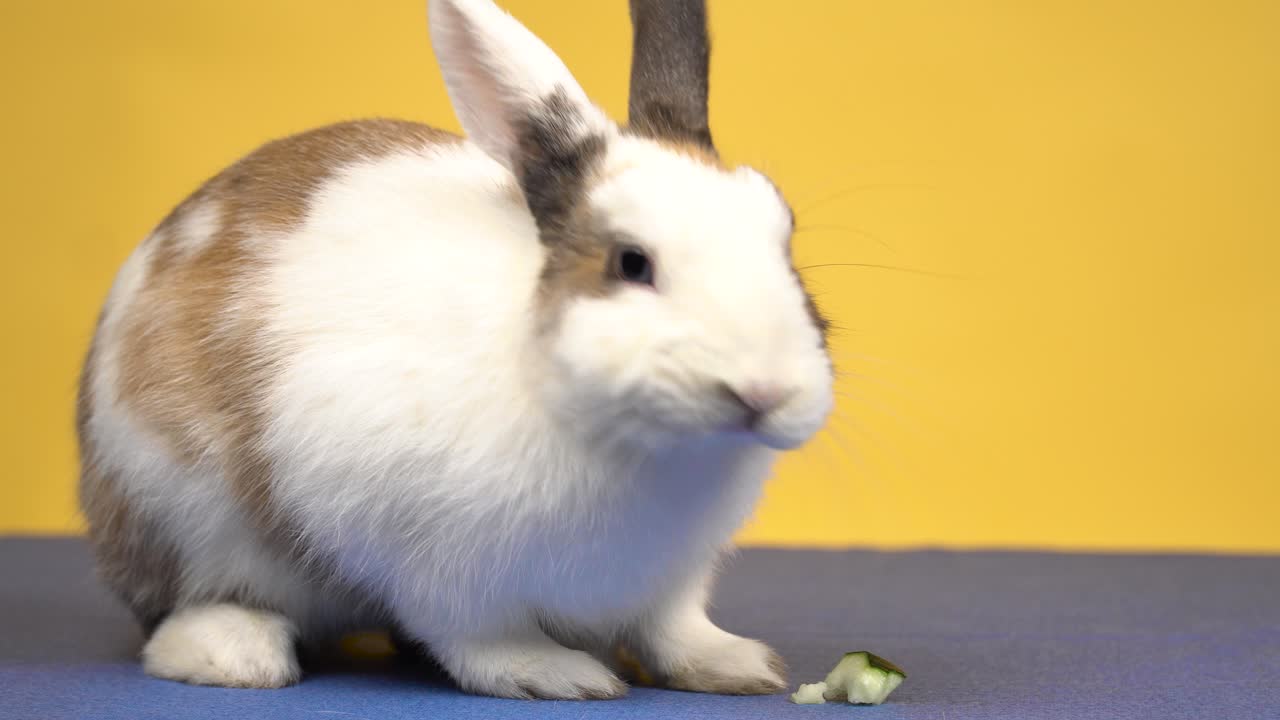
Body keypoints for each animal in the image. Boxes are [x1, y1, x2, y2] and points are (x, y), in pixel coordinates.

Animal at [76, 0, 834, 700]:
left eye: (786, 244)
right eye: (631, 262)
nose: (765, 391)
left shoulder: (671, 575)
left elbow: (672, 628)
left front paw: (739, 666)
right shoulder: (433, 558)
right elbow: (480, 636)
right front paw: (555, 675)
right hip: (182, 514)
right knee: (185, 611)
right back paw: (236, 653)